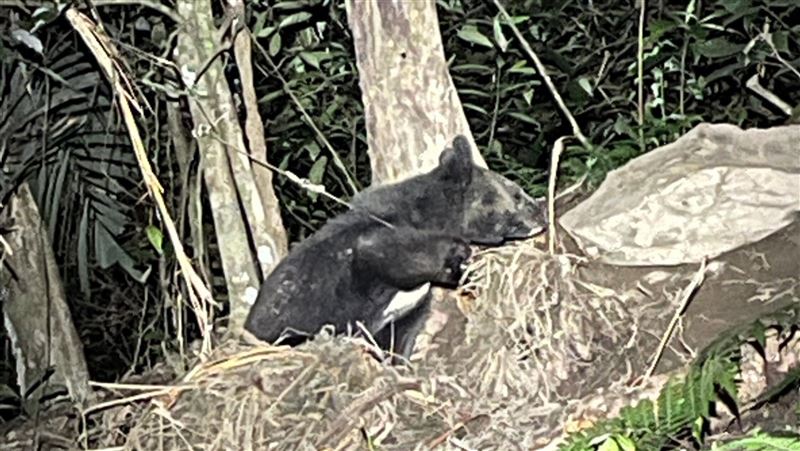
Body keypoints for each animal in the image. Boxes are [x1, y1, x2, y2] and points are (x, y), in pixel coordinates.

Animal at [244, 135, 547, 362]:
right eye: (516, 194)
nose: (542, 213)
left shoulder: (403, 315)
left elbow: (399, 340)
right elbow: (380, 250)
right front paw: (457, 259)